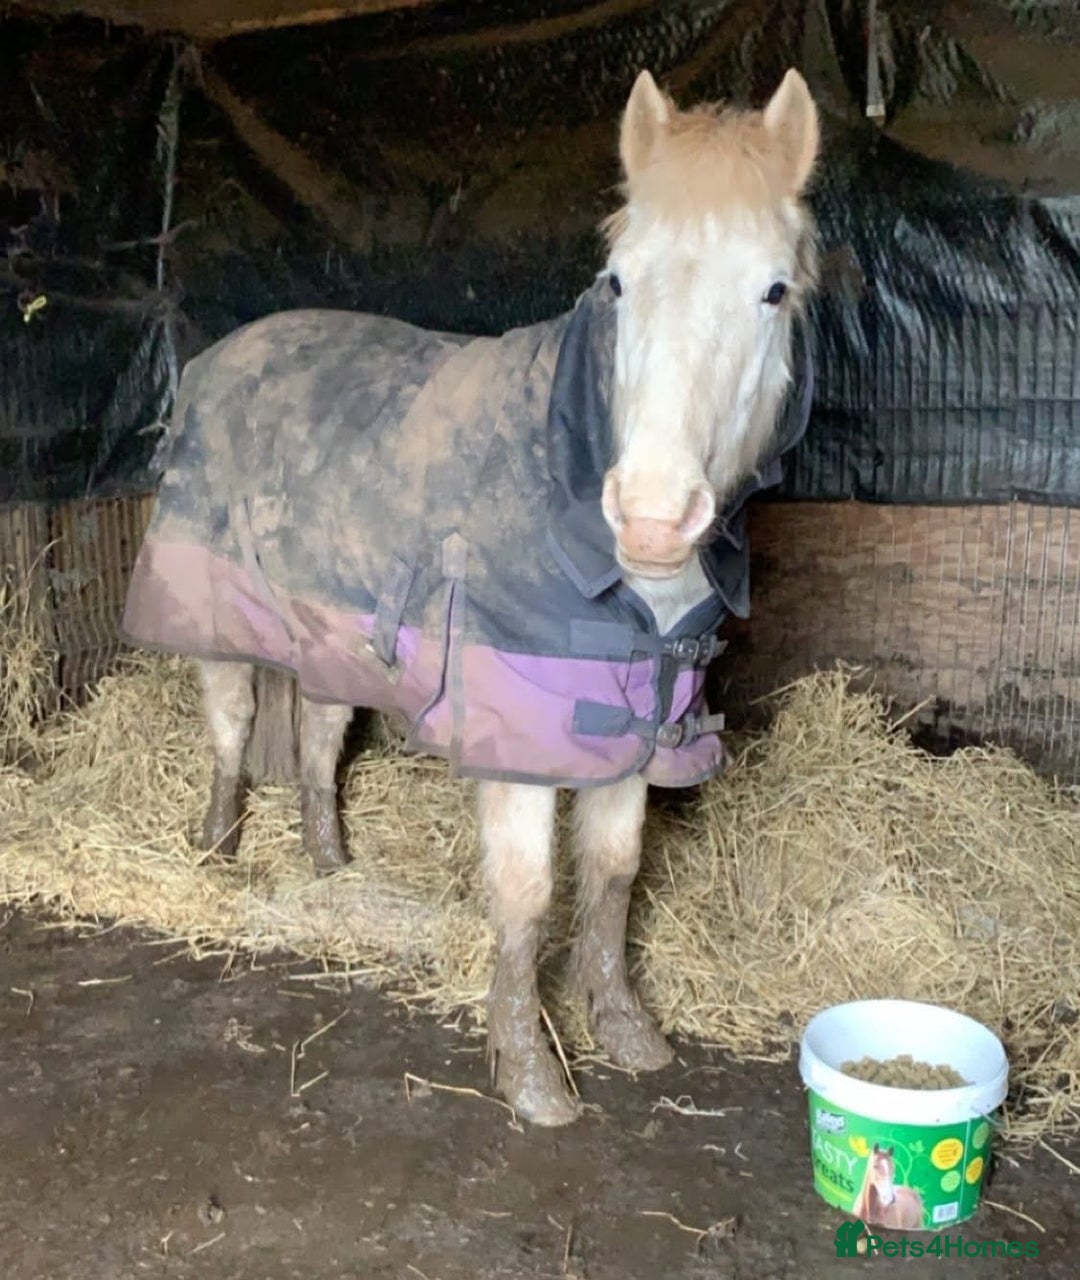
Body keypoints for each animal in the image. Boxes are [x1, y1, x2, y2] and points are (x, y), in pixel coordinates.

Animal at [122, 67, 821, 1126]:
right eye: (619, 281)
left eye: (773, 290)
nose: (653, 516)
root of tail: (218, 358)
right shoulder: (517, 735)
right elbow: (527, 894)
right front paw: (531, 1073)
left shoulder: (630, 723)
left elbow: (613, 875)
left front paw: (624, 1028)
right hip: (216, 617)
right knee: (235, 729)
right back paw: (216, 848)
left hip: (334, 634)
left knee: (319, 739)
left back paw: (330, 863)